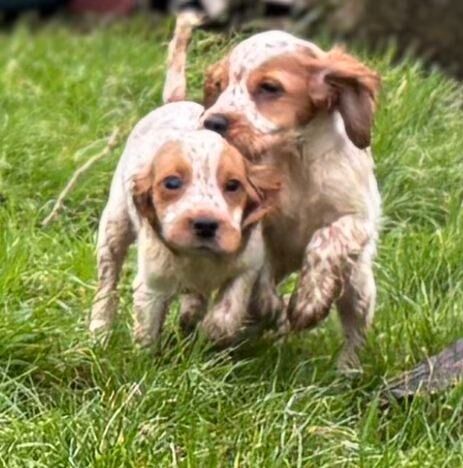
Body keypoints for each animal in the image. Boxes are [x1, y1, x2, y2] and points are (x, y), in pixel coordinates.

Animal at [202, 31, 380, 370]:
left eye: (270, 87)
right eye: (219, 85)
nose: (212, 122)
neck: (294, 159)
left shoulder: (359, 218)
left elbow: (327, 238)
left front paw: (308, 303)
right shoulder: (257, 219)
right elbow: (260, 271)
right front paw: (270, 306)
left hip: (358, 286)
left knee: (355, 328)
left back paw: (345, 371)